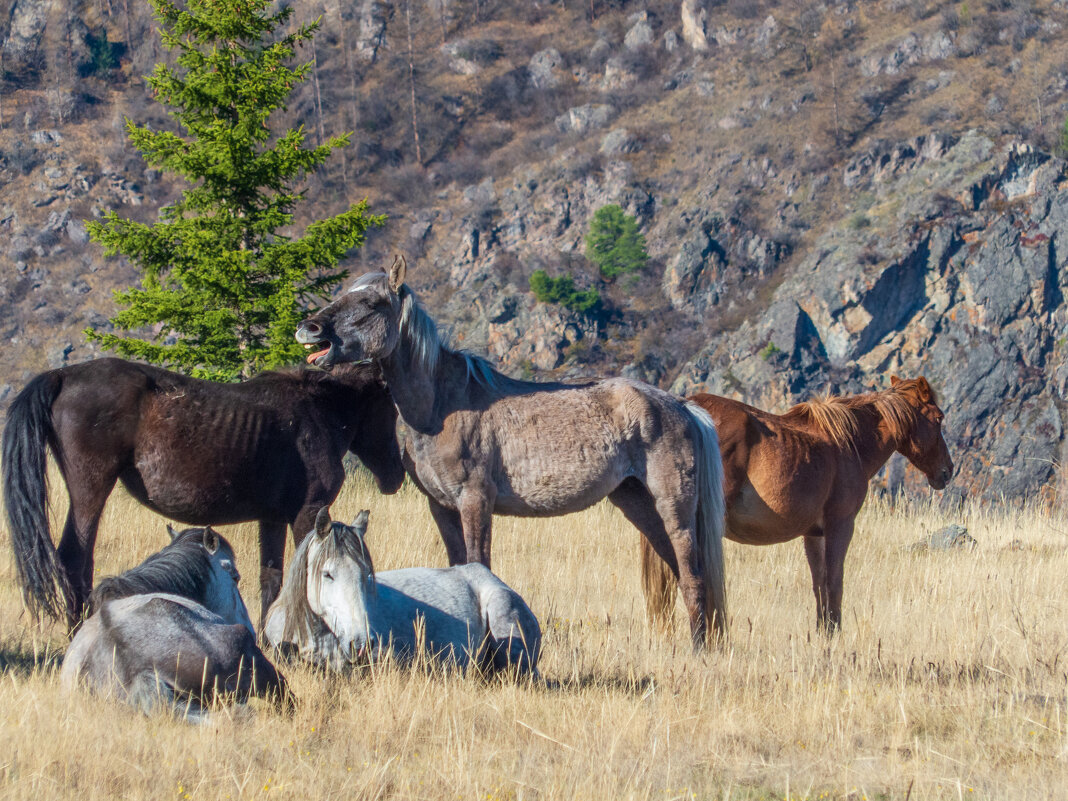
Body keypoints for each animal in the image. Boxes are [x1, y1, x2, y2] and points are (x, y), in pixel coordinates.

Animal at [3, 358, 403, 632]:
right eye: (390, 405)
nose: (396, 476)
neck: (317, 412)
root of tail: (62, 375)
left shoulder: (273, 518)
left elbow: (270, 579)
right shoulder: (308, 511)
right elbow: (306, 572)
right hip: (90, 491)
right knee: (74, 560)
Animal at [640, 380, 952, 636]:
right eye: (938, 418)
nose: (947, 471)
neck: (848, 444)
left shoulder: (814, 534)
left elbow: (820, 584)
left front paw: (824, 632)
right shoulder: (840, 526)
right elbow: (835, 582)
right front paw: (835, 634)